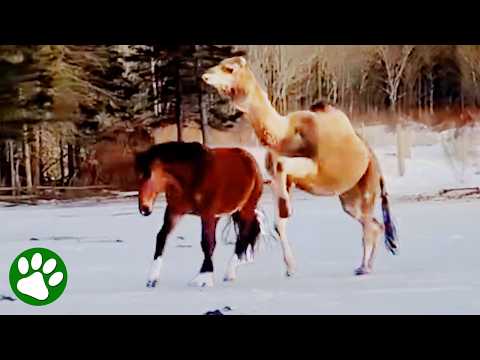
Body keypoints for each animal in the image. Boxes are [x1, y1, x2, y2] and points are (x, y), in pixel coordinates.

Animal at [135, 142, 264, 288]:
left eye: (149, 175)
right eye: (139, 176)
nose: (144, 208)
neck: (193, 175)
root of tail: (251, 161)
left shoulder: (207, 214)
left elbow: (207, 243)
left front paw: (203, 278)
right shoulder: (174, 211)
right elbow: (161, 237)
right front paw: (152, 279)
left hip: (245, 209)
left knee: (244, 236)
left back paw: (229, 273)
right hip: (224, 214)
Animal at [202, 56, 398, 278]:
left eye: (229, 68)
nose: (206, 75)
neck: (285, 135)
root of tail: (372, 157)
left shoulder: (314, 168)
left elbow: (283, 171)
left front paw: (286, 209)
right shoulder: (284, 178)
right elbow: (279, 222)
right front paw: (290, 267)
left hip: (368, 183)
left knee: (370, 225)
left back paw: (365, 267)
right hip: (348, 194)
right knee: (372, 223)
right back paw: (364, 266)